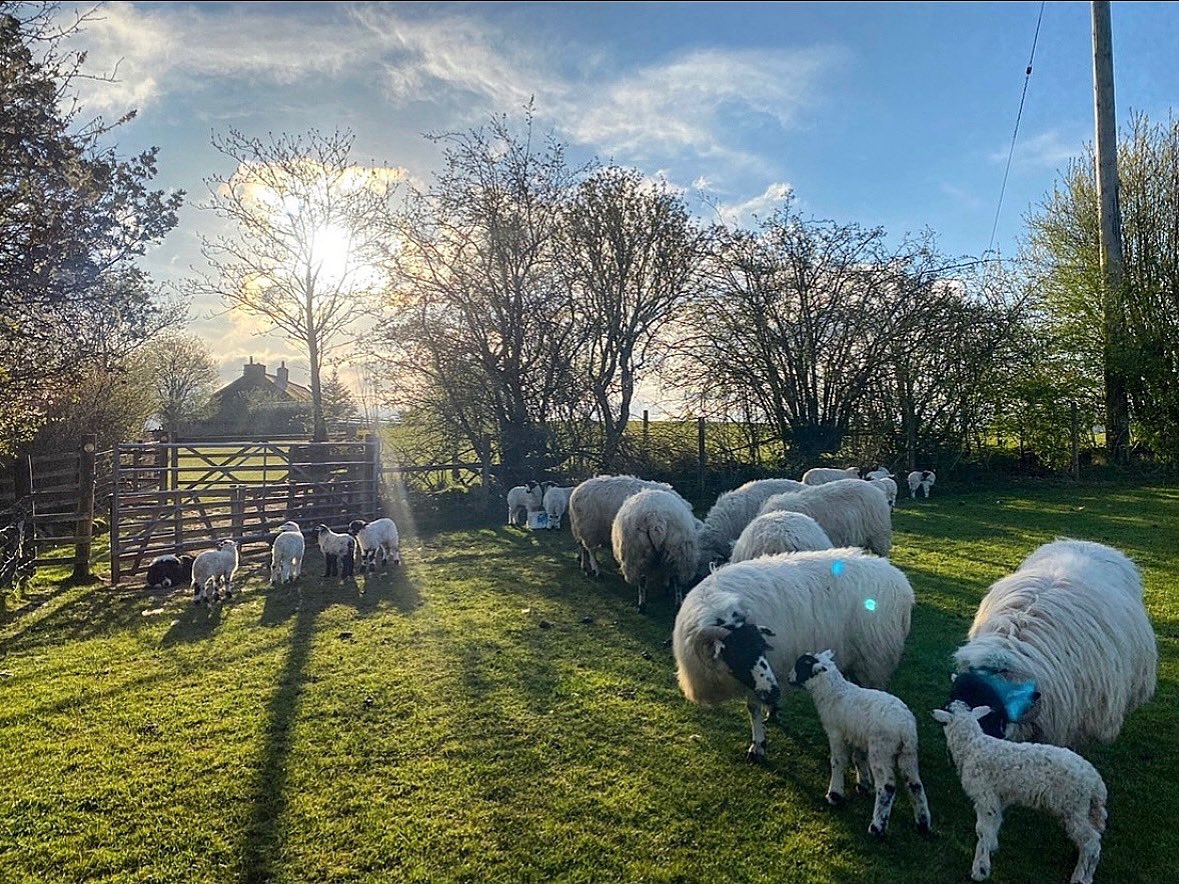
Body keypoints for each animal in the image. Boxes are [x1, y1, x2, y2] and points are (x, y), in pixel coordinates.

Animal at [608, 485, 697, 617]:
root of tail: (655, 518)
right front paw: (666, 587)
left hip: (636, 553)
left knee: (641, 582)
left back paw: (642, 606)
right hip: (679, 551)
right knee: (677, 580)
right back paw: (677, 604)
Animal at [674, 546, 910, 763]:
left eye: (760, 647)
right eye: (738, 653)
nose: (773, 692)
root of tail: (900, 581)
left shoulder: (760, 679)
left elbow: (752, 708)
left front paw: (758, 746)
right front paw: (772, 712)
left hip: (874, 660)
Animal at [787, 650, 933, 839]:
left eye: (800, 666)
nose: (789, 677)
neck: (832, 692)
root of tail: (905, 726)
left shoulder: (835, 733)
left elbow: (837, 762)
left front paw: (834, 795)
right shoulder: (856, 736)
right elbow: (858, 758)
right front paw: (863, 785)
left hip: (881, 750)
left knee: (887, 787)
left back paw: (877, 827)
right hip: (908, 753)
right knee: (915, 785)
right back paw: (922, 824)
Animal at [929, 702, 1103, 881]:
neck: (971, 746)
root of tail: (1096, 780)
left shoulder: (985, 797)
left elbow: (982, 830)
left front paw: (980, 869)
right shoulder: (997, 799)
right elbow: (994, 824)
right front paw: (992, 847)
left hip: (1074, 806)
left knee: (1092, 842)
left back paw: (1080, 876)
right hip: (1081, 808)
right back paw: (1087, 875)